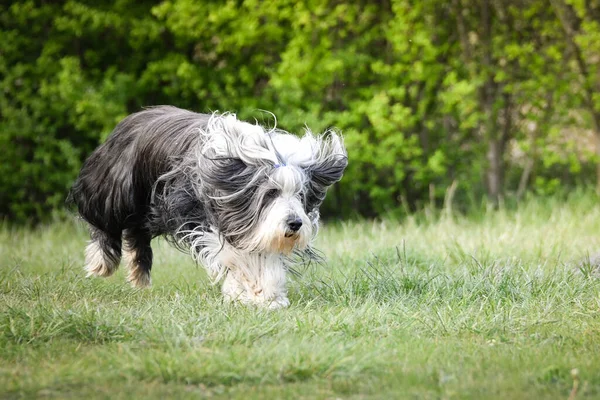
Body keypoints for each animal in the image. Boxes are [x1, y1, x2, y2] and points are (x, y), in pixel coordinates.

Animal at [69, 104, 346, 308]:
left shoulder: (251, 225)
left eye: (300, 194)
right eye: (271, 192)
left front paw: (267, 293)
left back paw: (139, 274)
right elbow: (236, 255)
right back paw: (101, 262)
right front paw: (254, 290)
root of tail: (132, 119)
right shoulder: (202, 214)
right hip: (117, 189)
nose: (295, 223)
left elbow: (261, 255)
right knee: (104, 220)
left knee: (137, 231)